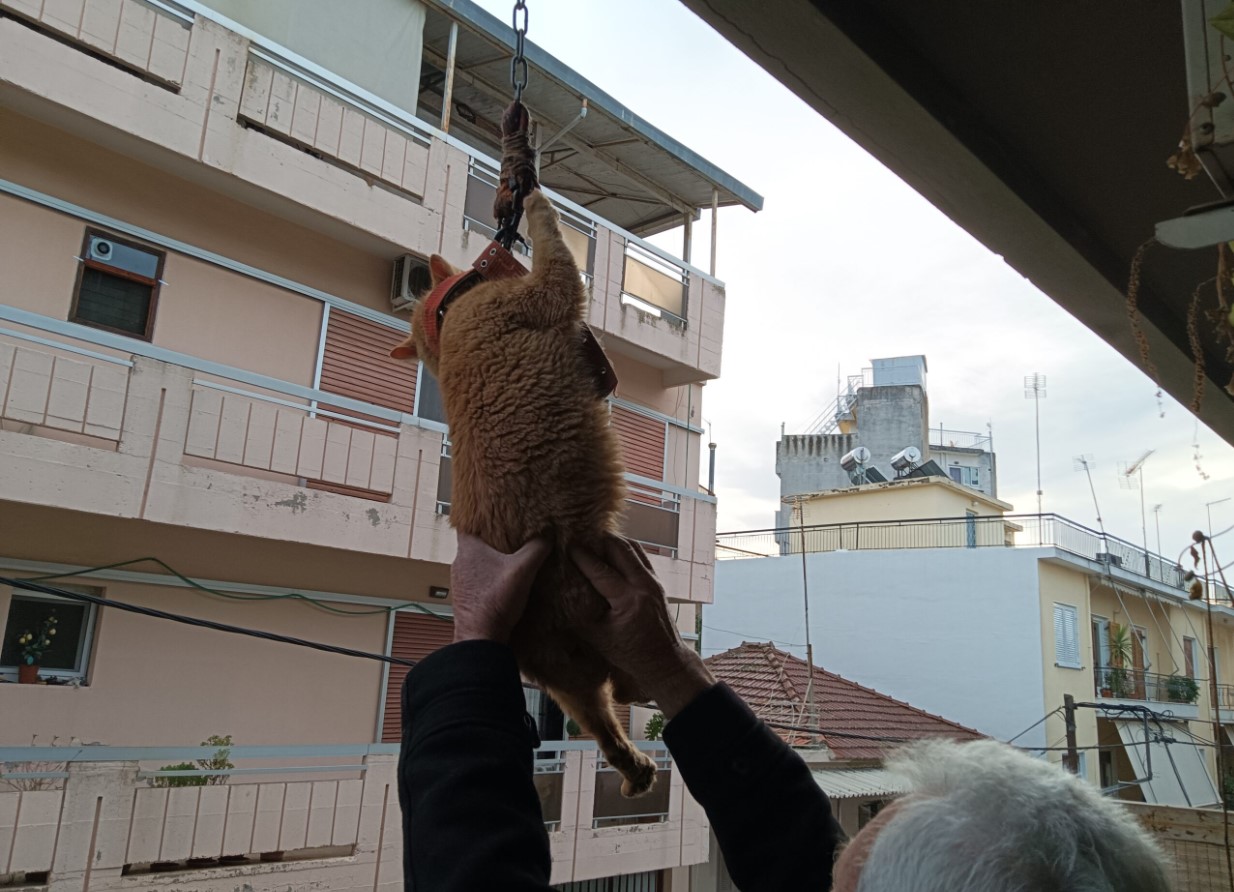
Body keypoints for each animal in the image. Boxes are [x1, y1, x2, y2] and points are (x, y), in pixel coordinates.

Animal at [394, 192, 661, 799]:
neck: (449, 317)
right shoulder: (552, 289)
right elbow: (552, 239)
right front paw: (537, 200)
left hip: (568, 684)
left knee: (603, 724)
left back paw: (635, 769)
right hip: (606, 614)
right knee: (634, 681)